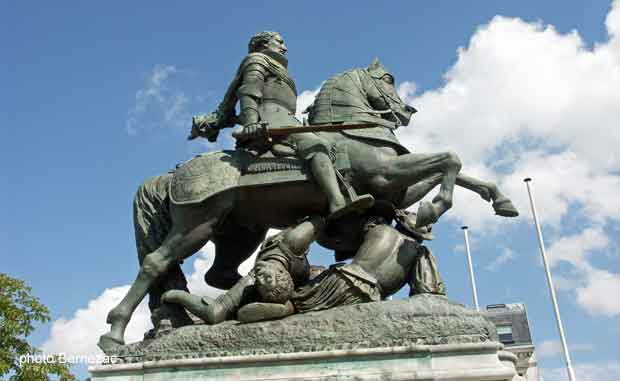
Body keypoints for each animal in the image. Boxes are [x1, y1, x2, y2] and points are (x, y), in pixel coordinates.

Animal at [99, 60, 520, 350]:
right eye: (386, 80)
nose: (406, 112)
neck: (353, 131)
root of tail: (172, 173)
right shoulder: (386, 176)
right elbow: (450, 160)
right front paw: (432, 211)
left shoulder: (396, 185)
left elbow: (456, 167)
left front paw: (497, 200)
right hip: (197, 223)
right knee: (157, 263)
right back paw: (116, 333)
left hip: (237, 231)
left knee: (219, 274)